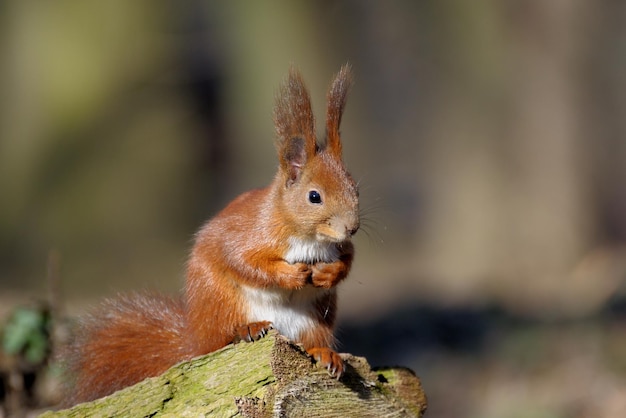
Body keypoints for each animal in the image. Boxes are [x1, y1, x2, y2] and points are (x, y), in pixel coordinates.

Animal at [64, 65, 358, 404]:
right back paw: (246, 329)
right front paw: (292, 275)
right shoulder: (250, 233)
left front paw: (328, 273)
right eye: (314, 197)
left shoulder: (341, 246)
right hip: (220, 300)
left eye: (355, 188)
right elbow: (243, 261)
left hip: (315, 318)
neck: (309, 237)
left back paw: (325, 353)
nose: (351, 227)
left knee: (312, 340)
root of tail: (197, 338)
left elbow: (348, 260)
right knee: (222, 338)